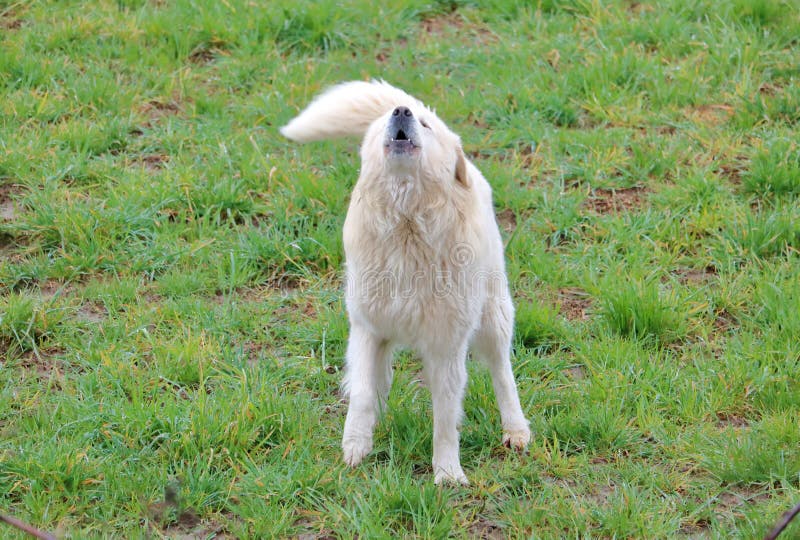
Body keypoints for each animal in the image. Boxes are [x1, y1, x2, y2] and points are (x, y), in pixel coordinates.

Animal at [282, 80, 532, 486]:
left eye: (426, 127)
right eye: (390, 119)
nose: (401, 111)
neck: (406, 226)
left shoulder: (446, 345)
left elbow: (445, 416)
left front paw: (447, 473)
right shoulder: (367, 328)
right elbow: (363, 392)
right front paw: (355, 446)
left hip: (493, 315)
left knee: (502, 372)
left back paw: (517, 430)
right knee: (380, 380)